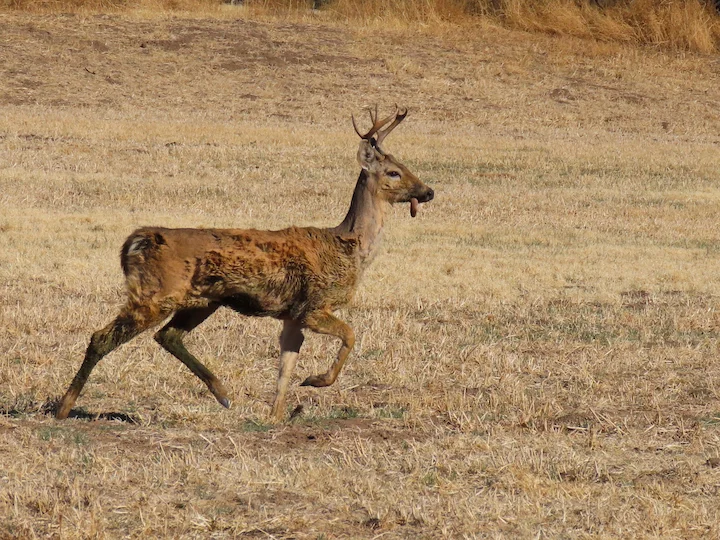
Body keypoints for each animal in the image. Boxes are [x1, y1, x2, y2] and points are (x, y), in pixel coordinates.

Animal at [55, 106, 434, 422]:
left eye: (407, 166)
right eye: (394, 172)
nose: (428, 191)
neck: (348, 246)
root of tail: (135, 241)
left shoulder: (292, 315)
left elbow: (284, 369)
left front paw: (276, 417)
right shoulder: (313, 304)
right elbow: (351, 335)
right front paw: (315, 381)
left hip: (202, 300)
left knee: (168, 336)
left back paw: (222, 394)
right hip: (155, 294)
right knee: (102, 337)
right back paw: (63, 408)